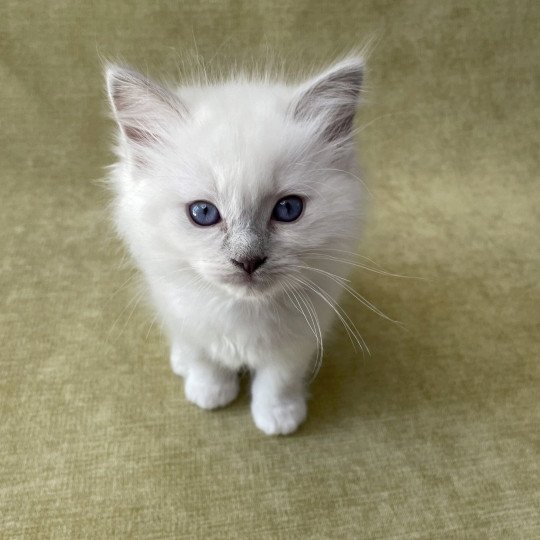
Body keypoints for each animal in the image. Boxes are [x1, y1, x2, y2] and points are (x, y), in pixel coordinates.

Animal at [105, 56, 364, 434]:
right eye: (203, 213)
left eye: (288, 209)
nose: (248, 260)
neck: (242, 312)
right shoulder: (185, 317)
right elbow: (204, 360)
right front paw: (210, 393)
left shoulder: (298, 337)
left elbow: (278, 379)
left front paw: (279, 416)